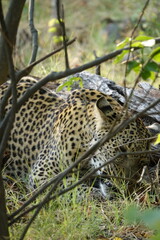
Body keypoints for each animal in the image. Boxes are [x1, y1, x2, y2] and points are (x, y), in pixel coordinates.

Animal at [0, 76, 152, 198]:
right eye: (122, 150)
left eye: (141, 163)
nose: (125, 189)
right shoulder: (42, 172)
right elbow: (69, 185)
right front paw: (94, 195)